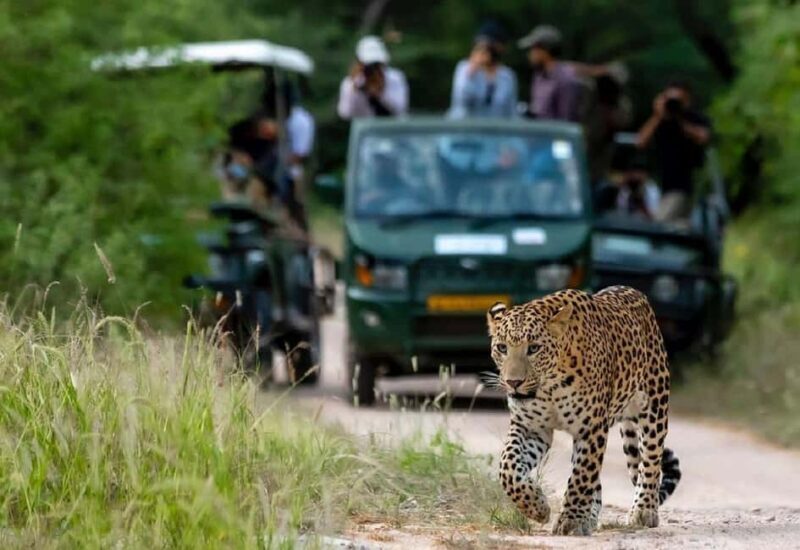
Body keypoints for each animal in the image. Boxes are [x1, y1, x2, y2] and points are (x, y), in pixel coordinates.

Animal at [484, 286, 681, 536]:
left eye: (534, 348)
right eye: (502, 348)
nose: (513, 382)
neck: (550, 387)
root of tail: (634, 292)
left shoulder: (591, 428)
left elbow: (581, 476)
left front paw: (571, 521)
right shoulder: (531, 427)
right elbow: (508, 468)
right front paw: (537, 506)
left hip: (654, 405)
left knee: (650, 460)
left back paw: (644, 510)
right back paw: (591, 516)